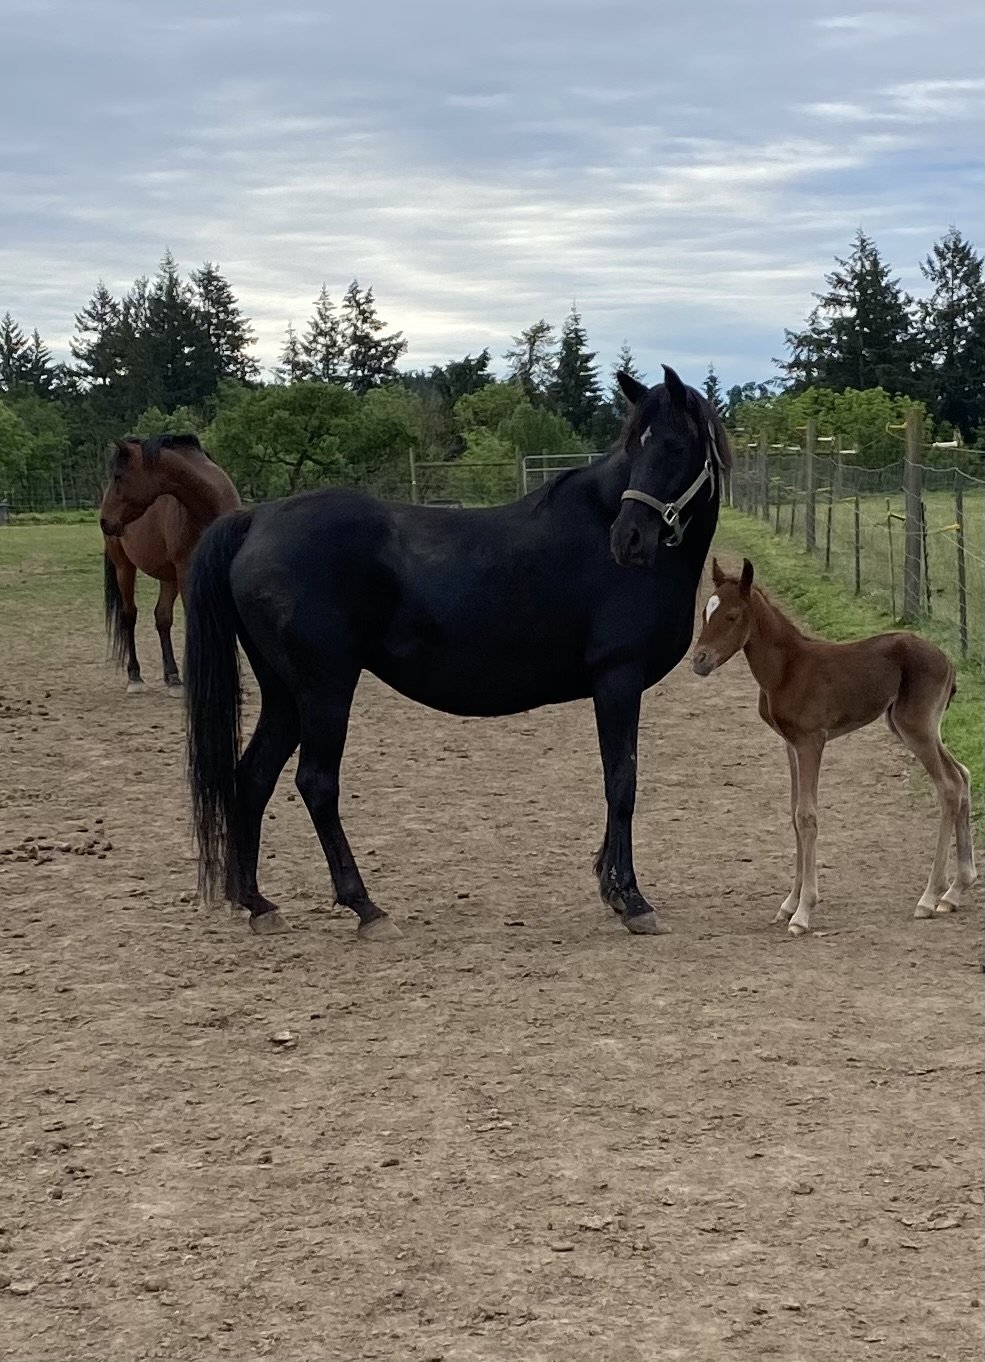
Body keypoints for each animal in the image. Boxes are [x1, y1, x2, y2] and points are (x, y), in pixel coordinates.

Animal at [99, 434, 241, 696]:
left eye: (118, 476)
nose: (104, 521)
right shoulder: (186, 571)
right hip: (125, 569)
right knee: (129, 615)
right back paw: (135, 677)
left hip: (168, 577)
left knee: (162, 617)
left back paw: (173, 677)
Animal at [183, 365, 732, 939]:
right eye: (635, 445)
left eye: (673, 445)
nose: (628, 539)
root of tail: (257, 520)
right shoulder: (618, 679)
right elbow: (621, 782)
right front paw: (631, 898)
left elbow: (616, 779)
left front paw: (609, 884)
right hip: (323, 689)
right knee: (316, 783)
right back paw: (365, 907)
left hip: (284, 695)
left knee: (253, 776)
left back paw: (257, 903)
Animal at [691, 557, 977, 935]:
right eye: (706, 612)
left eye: (732, 616)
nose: (699, 660)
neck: (787, 668)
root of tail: (947, 661)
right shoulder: (791, 744)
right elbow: (794, 813)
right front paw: (789, 904)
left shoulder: (812, 740)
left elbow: (807, 816)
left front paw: (803, 913)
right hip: (914, 727)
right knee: (962, 775)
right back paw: (956, 890)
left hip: (916, 728)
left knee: (948, 786)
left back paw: (930, 897)